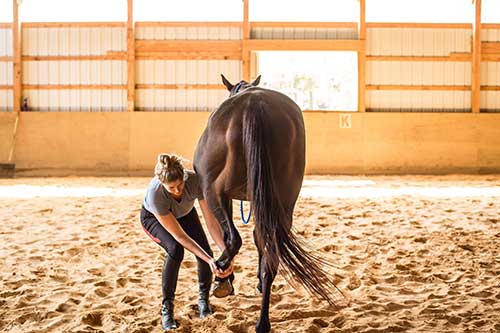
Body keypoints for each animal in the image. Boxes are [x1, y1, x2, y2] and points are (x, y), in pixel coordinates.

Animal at [192, 74, 344, 330]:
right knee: (270, 254)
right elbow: (258, 239)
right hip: (283, 200)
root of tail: (254, 105)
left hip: (214, 192)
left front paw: (226, 279)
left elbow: (228, 237)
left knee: (234, 239)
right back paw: (263, 321)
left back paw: (221, 274)